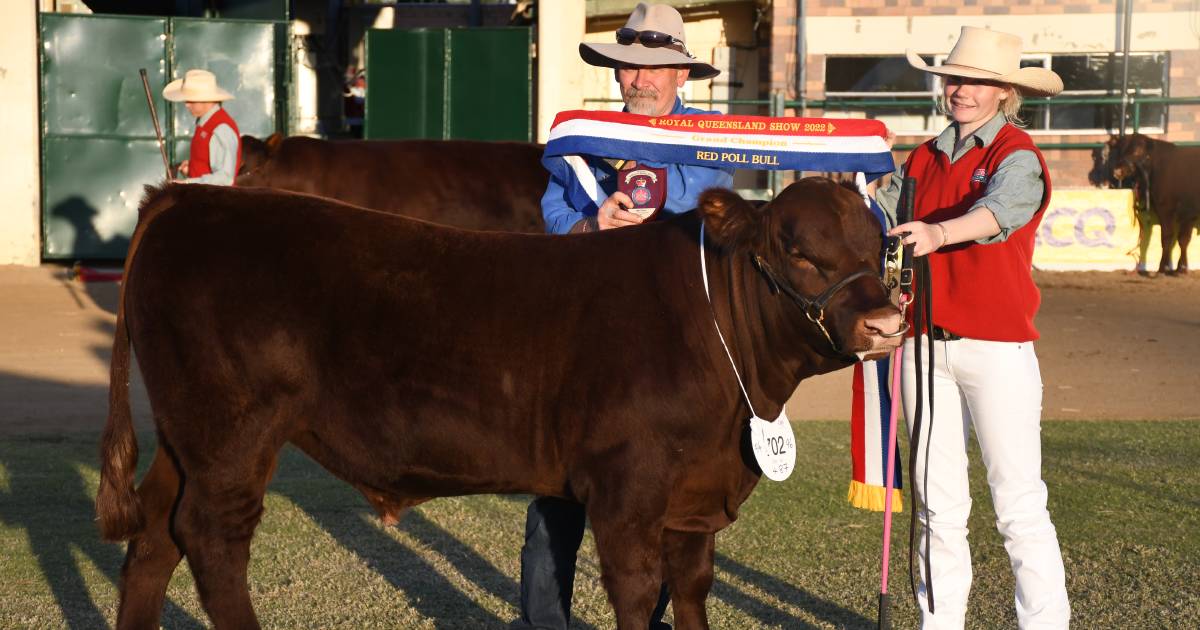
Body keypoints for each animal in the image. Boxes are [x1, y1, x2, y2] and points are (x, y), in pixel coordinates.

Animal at [98, 177, 902, 628]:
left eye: (878, 245)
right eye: (797, 249)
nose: (887, 323)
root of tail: (188, 197)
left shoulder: (695, 495)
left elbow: (692, 590)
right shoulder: (626, 487)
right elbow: (638, 591)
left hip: (186, 436)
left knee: (155, 538)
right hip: (234, 433)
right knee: (211, 540)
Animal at [1104, 132, 1200, 272]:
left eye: (1138, 151)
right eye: (1121, 150)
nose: (1118, 171)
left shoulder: (1169, 208)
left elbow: (1169, 237)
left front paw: (1164, 267)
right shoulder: (1188, 214)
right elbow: (1183, 240)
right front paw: (1181, 267)